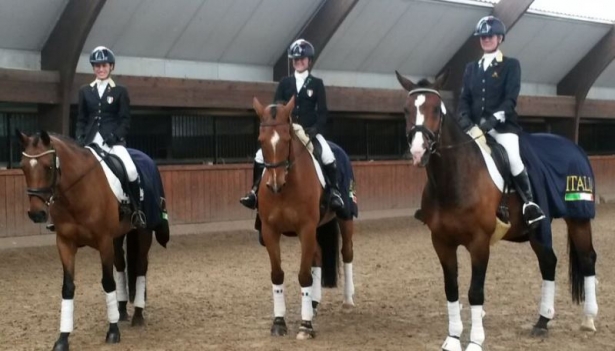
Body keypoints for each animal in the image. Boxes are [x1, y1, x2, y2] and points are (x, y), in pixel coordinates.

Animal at [16, 131, 170, 351]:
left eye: (48, 167)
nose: (36, 214)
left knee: (140, 267)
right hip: (117, 237)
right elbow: (68, 287)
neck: (76, 193)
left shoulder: (103, 241)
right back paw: (121, 310)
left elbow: (107, 282)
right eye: (23, 167)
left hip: (143, 231)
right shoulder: (65, 243)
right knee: (121, 266)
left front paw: (113, 331)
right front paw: (62, 338)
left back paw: (138, 315)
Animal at [251, 96, 356, 340]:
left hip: (345, 216)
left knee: (347, 253)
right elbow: (277, 275)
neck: (286, 188)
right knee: (317, 256)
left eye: (287, 139)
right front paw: (279, 322)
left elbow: (304, 276)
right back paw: (314, 305)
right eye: (261, 140)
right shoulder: (270, 231)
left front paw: (305, 326)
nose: (275, 184)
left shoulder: (306, 228)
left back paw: (347, 301)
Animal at [398, 72, 600, 351]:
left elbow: (475, 292)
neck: (456, 176)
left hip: (578, 217)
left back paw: (589, 319)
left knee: (587, 258)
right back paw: (542, 321)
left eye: (436, 110)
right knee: (549, 262)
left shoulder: (479, 242)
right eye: (407, 110)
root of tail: (574, 147)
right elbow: (451, 289)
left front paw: (475, 342)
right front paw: (453, 338)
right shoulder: (441, 242)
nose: (419, 151)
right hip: (538, 231)